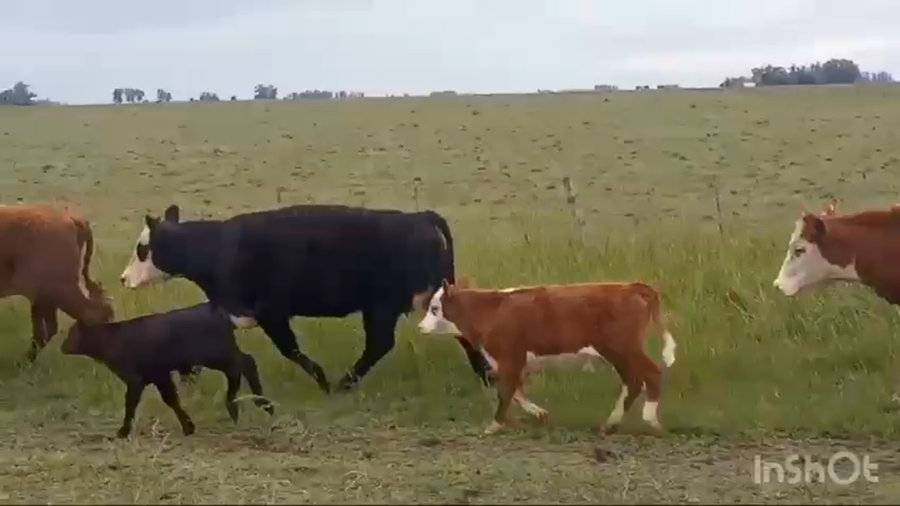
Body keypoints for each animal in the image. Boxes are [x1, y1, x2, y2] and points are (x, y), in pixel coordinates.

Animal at [61, 303, 275, 438]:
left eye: (72, 333)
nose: (63, 346)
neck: (110, 339)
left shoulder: (136, 379)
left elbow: (131, 404)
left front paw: (123, 431)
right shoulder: (160, 375)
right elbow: (171, 399)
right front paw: (188, 426)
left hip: (217, 354)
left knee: (243, 365)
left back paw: (245, 405)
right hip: (221, 354)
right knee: (244, 364)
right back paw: (256, 405)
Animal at [118, 203, 494, 394]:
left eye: (141, 248)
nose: (123, 279)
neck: (219, 247)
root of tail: (419, 217)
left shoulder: (271, 312)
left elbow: (291, 349)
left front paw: (322, 379)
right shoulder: (231, 311)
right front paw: (188, 376)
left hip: (382, 306)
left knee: (379, 344)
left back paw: (342, 384)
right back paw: (486, 377)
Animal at [417, 279, 677, 435]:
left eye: (435, 308)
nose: (420, 327)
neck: (491, 310)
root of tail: (629, 286)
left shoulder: (510, 359)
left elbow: (507, 392)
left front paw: (493, 425)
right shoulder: (511, 362)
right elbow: (516, 392)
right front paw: (539, 413)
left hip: (624, 349)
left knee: (650, 374)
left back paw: (650, 419)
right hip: (619, 354)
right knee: (633, 382)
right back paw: (610, 423)